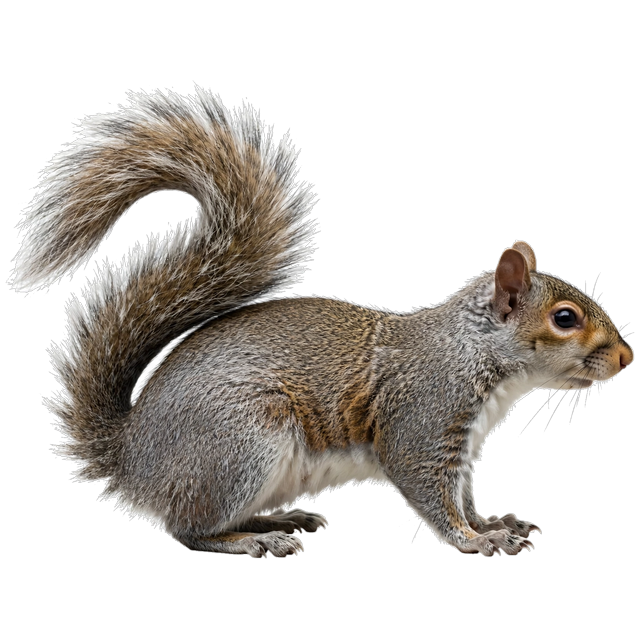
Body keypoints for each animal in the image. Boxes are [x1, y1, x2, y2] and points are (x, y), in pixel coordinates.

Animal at [13, 88, 633, 558]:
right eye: (564, 318)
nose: (627, 358)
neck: (473, 351)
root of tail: (131, 456)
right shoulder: (423, 421)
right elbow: (433, 499)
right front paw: (475, 542)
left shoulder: (460, 450)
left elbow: (465, 497)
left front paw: (493, 524)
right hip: (240, 445)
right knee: (189, 530)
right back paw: (252, 541)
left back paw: (280, 521)